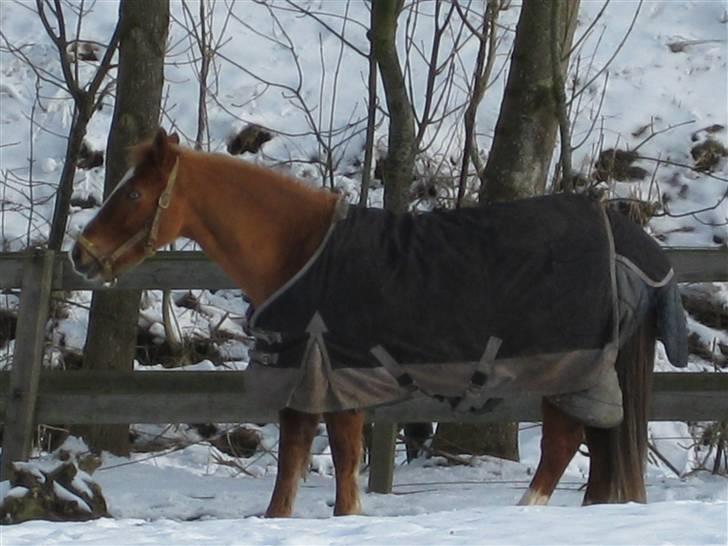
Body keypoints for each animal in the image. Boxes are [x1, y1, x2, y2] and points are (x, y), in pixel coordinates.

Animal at [71, 127, 684, 516]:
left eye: (134, 192)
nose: (80, 255)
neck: (301, 252)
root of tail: (632, 243)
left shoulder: (333, 380)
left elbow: (339, 473)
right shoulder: (311, 383)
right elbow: (290, 482)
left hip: (573, 370)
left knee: (563, 445)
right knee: (600, 451)